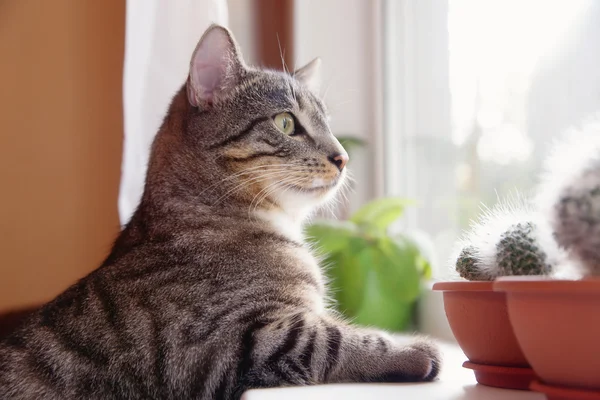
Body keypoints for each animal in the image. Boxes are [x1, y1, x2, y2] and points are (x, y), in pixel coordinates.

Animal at [0, 25, 440, 400]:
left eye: (329, 124)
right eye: (286, 123)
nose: (343, 157)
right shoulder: (229, 345)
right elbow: (335, 340)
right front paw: (413, 351)